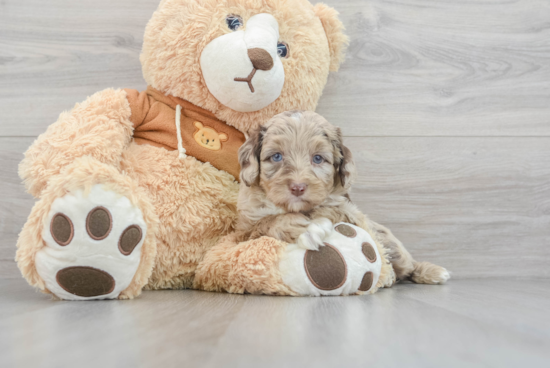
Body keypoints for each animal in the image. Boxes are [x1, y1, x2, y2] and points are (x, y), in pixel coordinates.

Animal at [237, 110, 452, 286]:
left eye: (317, 158)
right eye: (276, 157)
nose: (298, 187)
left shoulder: (352, 212)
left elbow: (331, 208)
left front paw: (312, 222)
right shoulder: (242, 232)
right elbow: (265, 223)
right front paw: (303, 228)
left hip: (392, 246)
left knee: (406, 266)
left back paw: (431, 272)